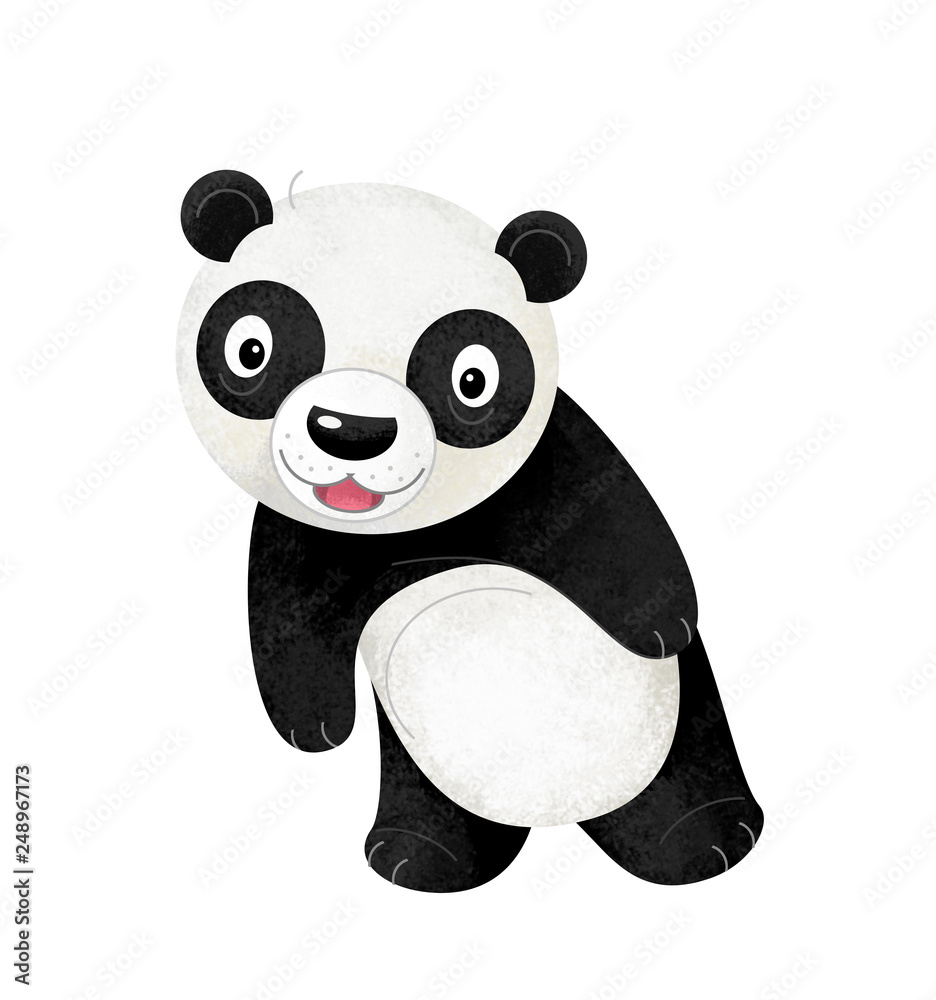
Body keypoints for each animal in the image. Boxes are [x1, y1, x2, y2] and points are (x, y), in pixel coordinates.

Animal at [177, 169, 764, 892]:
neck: (418, 529)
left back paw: (702, 839)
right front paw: (315, 728)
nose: (352, 432)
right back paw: (424, 856)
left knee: (682, 783)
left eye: (472, 378)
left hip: (674, 728)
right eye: (252, 350)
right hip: (421, 769)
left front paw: (663, 625)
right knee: (434, 810)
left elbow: (623, 530)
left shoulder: (558, 460)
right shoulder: (302, 532)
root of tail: (557, 814)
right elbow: (287, 617)